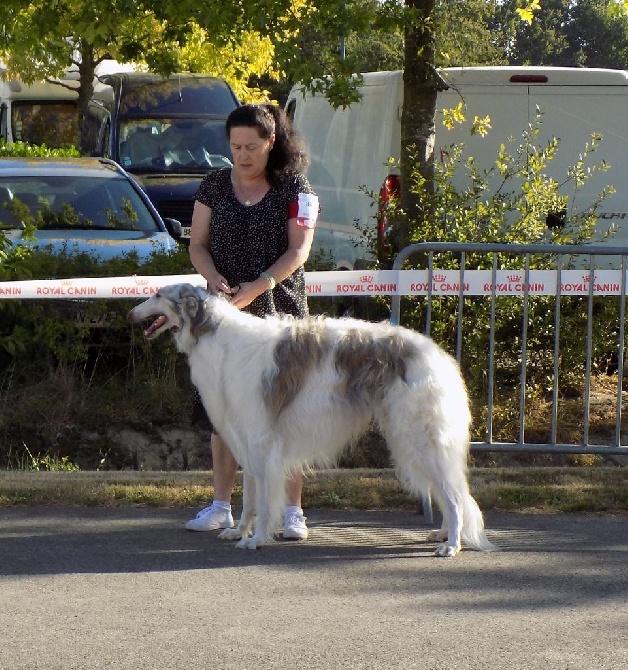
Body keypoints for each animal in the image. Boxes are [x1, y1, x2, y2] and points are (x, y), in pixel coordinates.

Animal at [131, 282, 496, 556]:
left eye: (158, 295)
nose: (130, 313)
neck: (217, 335)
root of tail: (439, 356)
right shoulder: (246, 443)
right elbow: (249, 499)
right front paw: (238, 532)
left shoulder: (263, 443)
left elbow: (265, 502)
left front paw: (256, 539)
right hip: (412, 440)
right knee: (449, 493)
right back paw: (443, 534)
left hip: (418, 438)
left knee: (453, 496)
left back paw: (452, 545)